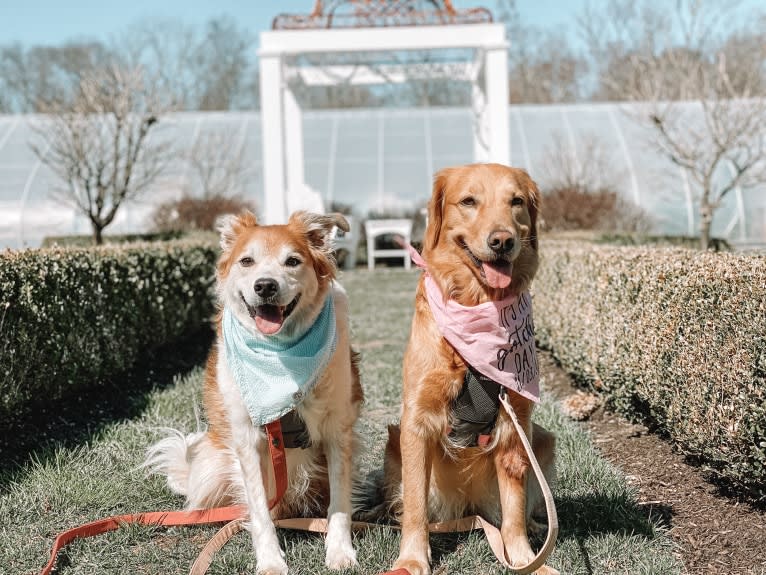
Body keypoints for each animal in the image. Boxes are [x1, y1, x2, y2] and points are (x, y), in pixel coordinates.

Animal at [150, 212, 366, 575]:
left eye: (292, 261)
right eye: (246, 261)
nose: (265, 285)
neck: (279, 355)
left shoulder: (338, 430)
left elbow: (339, 502)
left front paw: (339, 551)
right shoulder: (246, 437)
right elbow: (259, 509)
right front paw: (270, 560)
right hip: (212, 466)